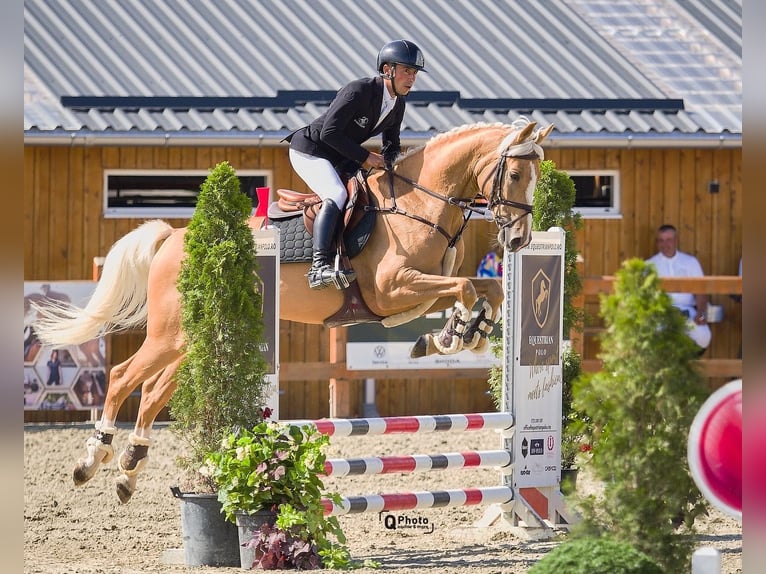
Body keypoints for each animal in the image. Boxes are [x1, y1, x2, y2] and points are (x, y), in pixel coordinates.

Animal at [33, 118, 556, 504]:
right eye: (515, 175)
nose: (518, 240)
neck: (417, 203)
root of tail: (175, 237)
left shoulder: (417, 293)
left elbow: (485, 287)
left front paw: (458, 334)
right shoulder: (392, 290)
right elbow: (466, 285)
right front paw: (455, 335)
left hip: (193, 338)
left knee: (154, 390)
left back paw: (128, 472)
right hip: (171, 333)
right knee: (123, 376)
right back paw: (91, 461)